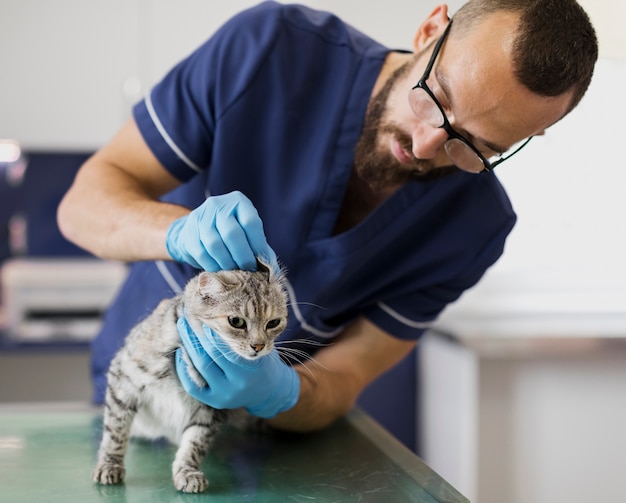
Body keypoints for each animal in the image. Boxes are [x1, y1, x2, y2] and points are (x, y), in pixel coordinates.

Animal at [92, 262, 288, 494]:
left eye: (273, 323)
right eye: (236, 321)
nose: (258, 346)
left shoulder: (212, 407)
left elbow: (195, 442)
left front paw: (187, 471)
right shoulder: (124, 379)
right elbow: (115, 431)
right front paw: (110, 464)